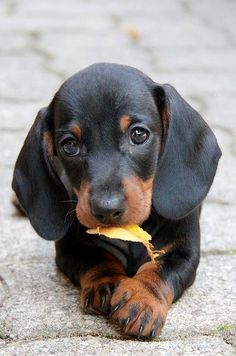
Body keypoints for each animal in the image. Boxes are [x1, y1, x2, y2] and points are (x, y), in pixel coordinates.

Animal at [11, 63, 221, 340]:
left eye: (138, 134)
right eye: (69, 145)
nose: (107, 209)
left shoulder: (184, 251)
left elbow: (160, 269)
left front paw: (142, 298)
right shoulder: (69, 247)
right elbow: (95, 258)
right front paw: (107, 282)